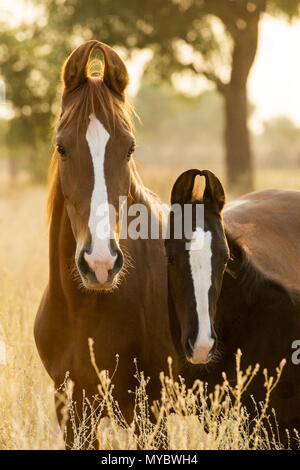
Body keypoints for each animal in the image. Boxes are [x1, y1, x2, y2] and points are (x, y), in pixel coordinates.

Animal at [34, 41, 177, 448]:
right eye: (61, 147)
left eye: (130, 148)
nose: (100, 264)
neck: (84, 310)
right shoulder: (72, 411)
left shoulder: (151, 414)